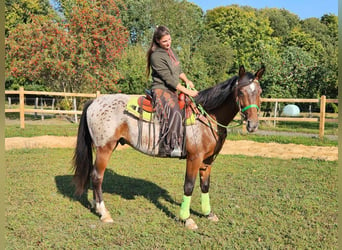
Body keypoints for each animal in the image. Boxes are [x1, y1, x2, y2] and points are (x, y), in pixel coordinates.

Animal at [72, 65, 264, 229]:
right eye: (241, 92)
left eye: (260, 92)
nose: (253, 125)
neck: (207, 116)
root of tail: (94, 102)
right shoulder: (194, 158)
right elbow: (189, 186)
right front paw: (186, 218)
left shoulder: (208, 161)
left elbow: (205, 186)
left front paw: (208, 213)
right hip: (104, 148)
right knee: (97, 177)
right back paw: (104, 213)